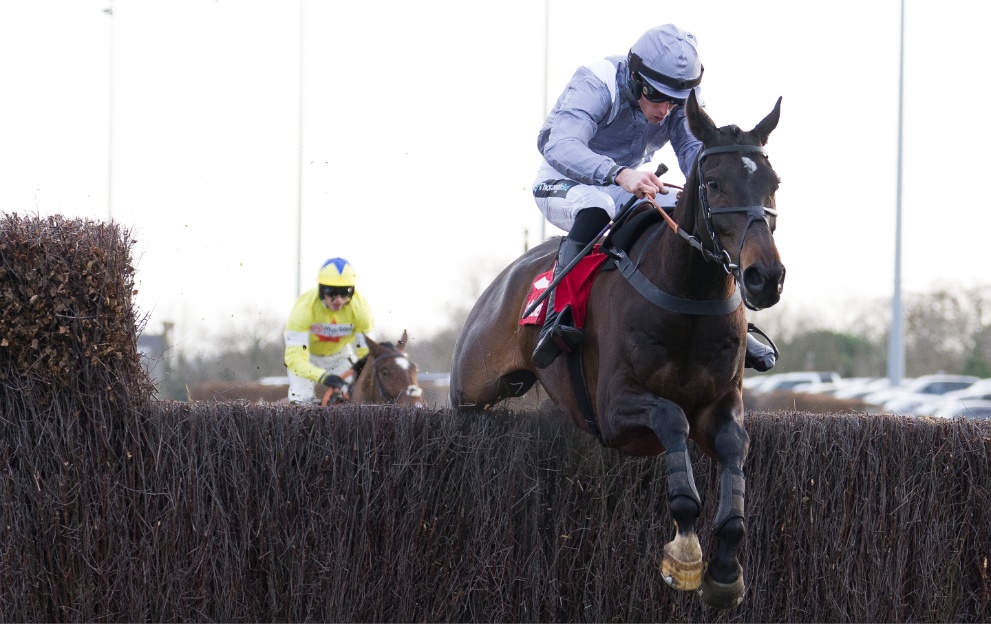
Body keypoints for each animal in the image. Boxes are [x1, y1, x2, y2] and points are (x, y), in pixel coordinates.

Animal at [450, 90, 784, 608]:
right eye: (712, 183)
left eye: (774, 183)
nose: (764, 277)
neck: (687, 295)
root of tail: (507, 276)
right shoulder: (612, 407)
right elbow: (671, 417)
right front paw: (684, 554)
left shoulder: (723, 401)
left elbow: (733, 448)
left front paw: (726, 570)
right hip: (471, 383)